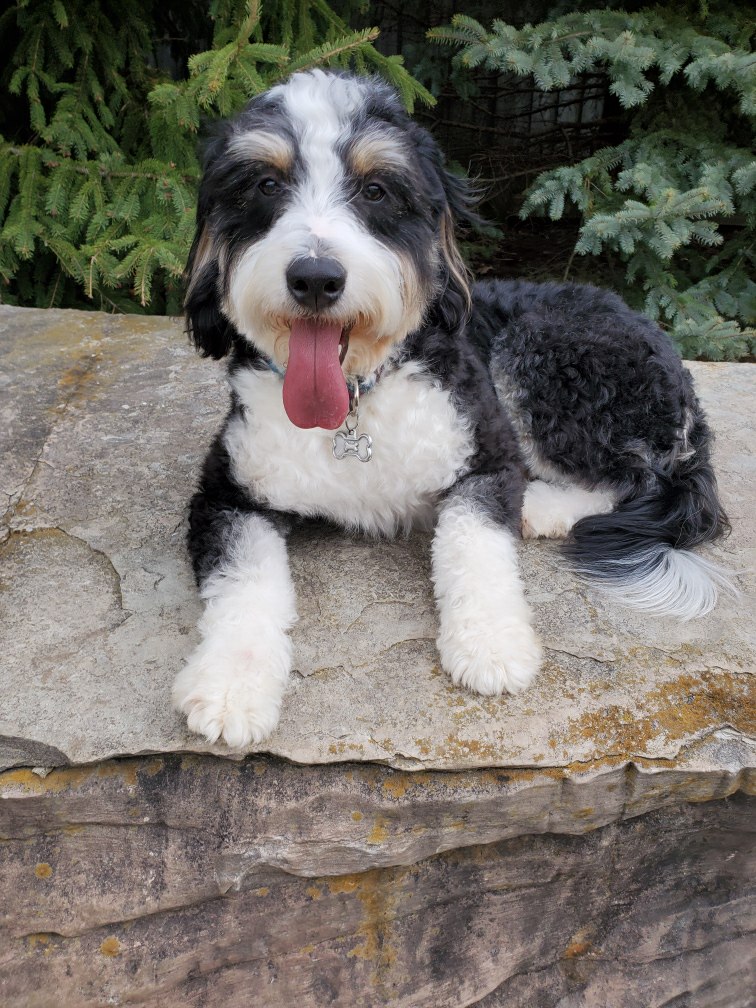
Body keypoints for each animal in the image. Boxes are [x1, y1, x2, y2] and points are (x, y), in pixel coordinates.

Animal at [173, 69, 733, 749]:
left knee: (631, 478)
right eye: (265, 184)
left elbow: (474, 543)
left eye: (377, 190)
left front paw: (489, 644)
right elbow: (244, 581)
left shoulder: (485, 455)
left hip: (539, 352)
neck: (356, 398)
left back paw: (539, 506)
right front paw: (231, 684)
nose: (315, 277)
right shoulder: (227, 494)